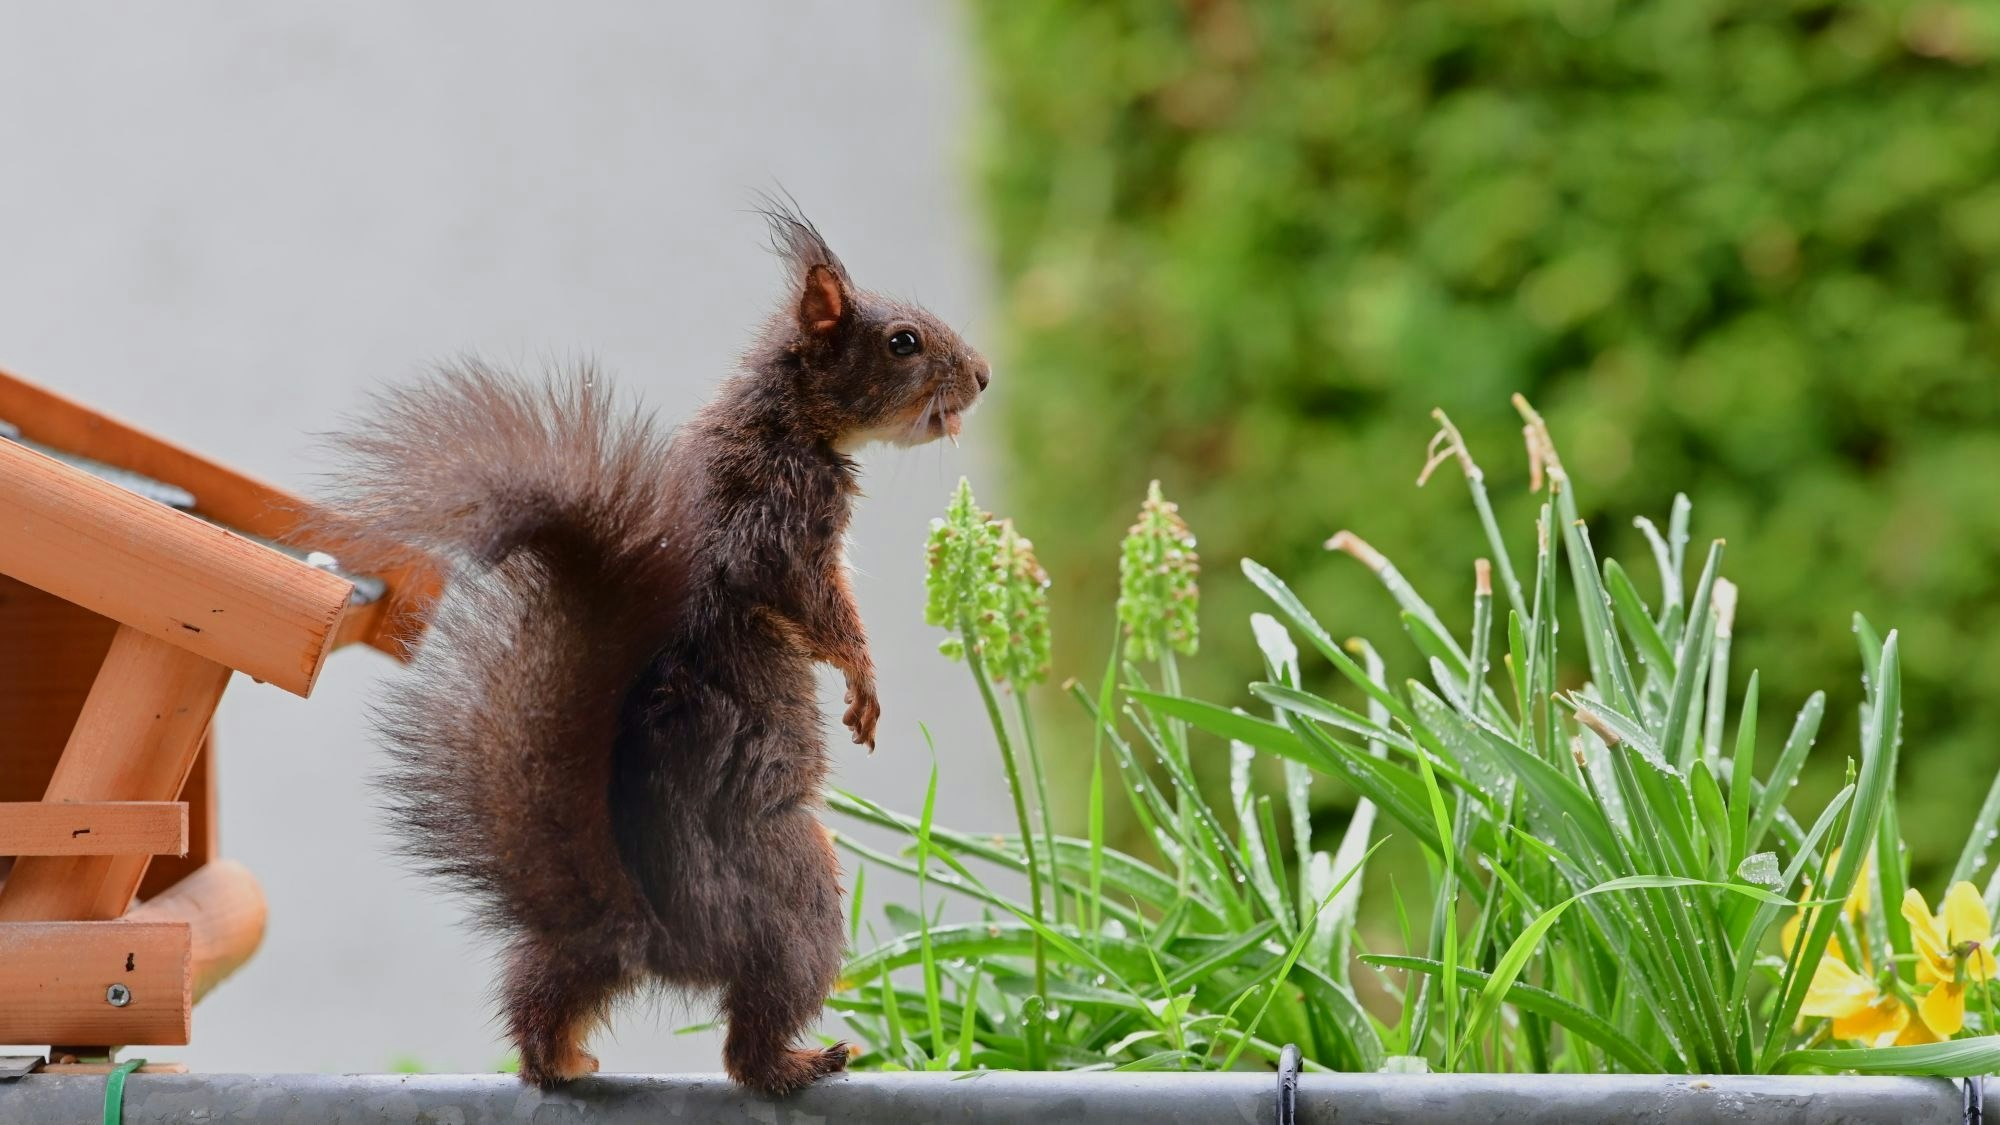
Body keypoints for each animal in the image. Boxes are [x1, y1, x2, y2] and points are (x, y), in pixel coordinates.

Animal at [318, 202, 989, 1095]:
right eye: (903, 342)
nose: (983, 376)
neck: (780, 417)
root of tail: (650, 928)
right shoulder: (779, 523)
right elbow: (818, 607)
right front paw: (862, 683)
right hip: (800, 898)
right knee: (749, 1042)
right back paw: (801, 1062)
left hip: (585, 961)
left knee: (550, 987)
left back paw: (559, 1059)